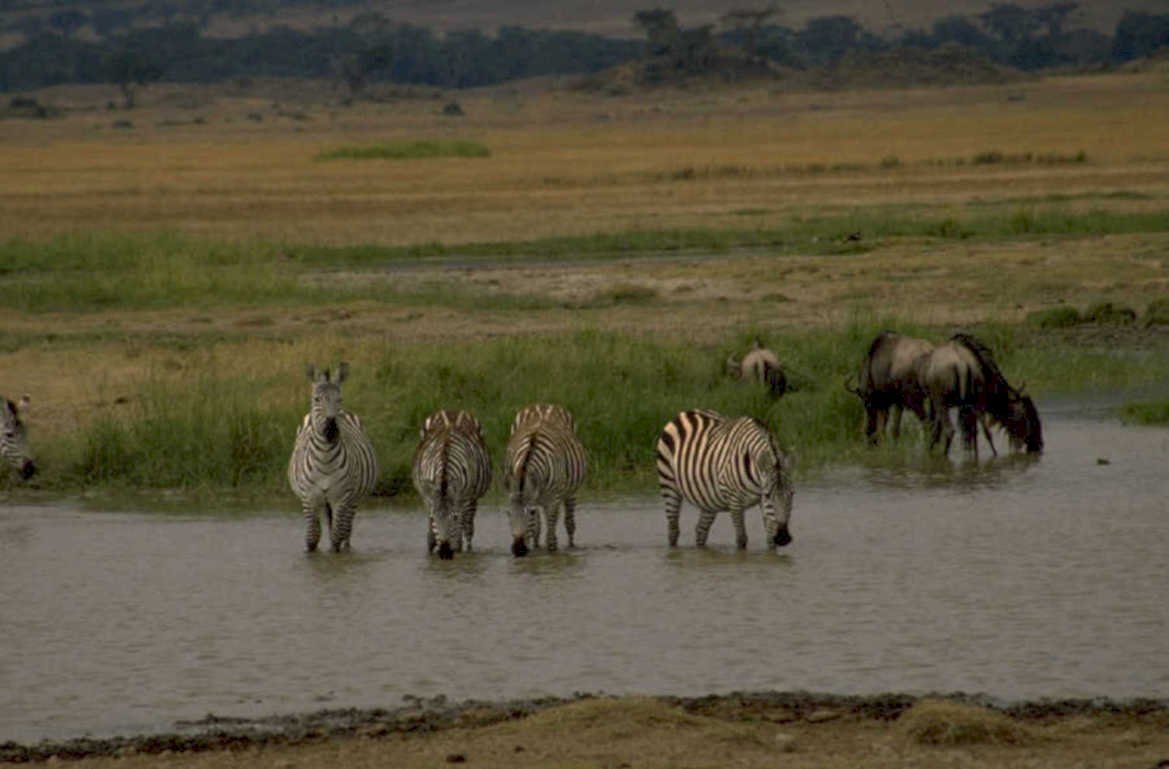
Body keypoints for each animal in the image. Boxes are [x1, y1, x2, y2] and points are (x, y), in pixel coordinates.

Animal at [288, 363, 379, 553]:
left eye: (339, 399)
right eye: (316, 399)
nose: (331, 429)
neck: (325, 459)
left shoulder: (342, 498)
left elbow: (337, 537)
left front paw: (335, 557)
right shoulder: (309, 498)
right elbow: (312, 537)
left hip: (353, 500)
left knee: (346, 532)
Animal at [412, 409, 493, 560]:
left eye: (454, 518)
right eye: (436, 517)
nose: (444, 553)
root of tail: (452, 411)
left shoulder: (466, 499)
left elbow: (464, 531)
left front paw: (461, 551)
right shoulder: (429, 498)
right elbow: (433, 528)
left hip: (472, 498)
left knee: (468, 528)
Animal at [504, 403, 587, 557]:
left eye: (530, 512)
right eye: (508, 513)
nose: (518, 550)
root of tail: (543, 405)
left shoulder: (553, 501)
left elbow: (551, 539)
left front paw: (552, 555)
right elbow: (533, 531)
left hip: (570, 491)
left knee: (569, 522)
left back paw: (571, 547)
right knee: (539, 528)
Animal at [656, 409, 794, 550]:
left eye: (792, 494)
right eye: (767, 495)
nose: (783, 538)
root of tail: (685, 413)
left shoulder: (763, 502)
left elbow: (770, 541)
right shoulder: (735, 502)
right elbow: (741, 538)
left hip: (708, 499)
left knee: (701, 530)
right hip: (669, 484)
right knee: (673, 530)